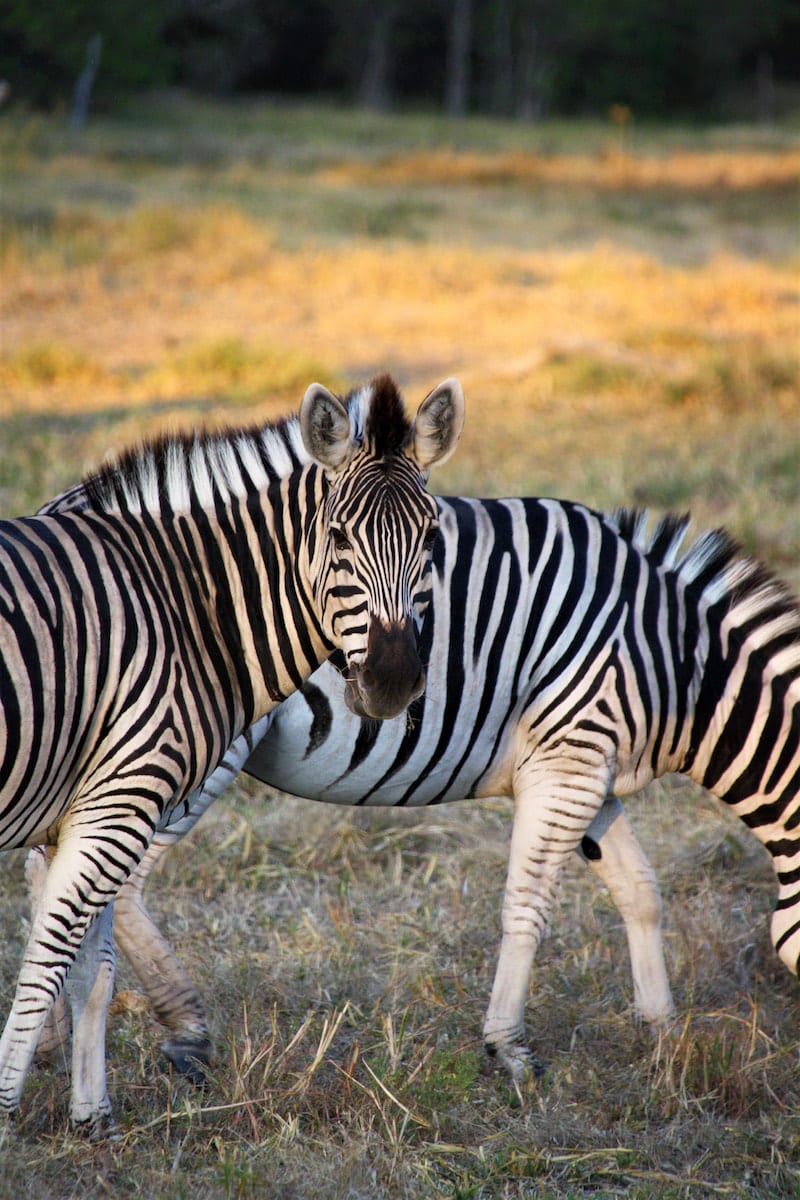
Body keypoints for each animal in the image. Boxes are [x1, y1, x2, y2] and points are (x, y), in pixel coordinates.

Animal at [0, 372, 462, 1132]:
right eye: (338, 536)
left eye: (429, 537)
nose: (394, 680)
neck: (185, 607)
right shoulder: (122, 800)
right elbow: (49, 960)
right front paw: (9, 1107)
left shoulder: (89, 807)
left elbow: (92, 970)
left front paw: (93, 1118)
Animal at [31, 489, 800, 1099]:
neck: (679, 662)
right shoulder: (569, 759)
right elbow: (527, 908)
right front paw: (509, 1048)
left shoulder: (592, 772)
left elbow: (640, 890)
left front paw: (663, 1029)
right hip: (184, 747)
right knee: (116, 883)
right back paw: (184, 1027)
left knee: (53, 877)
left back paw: (47, 1046)